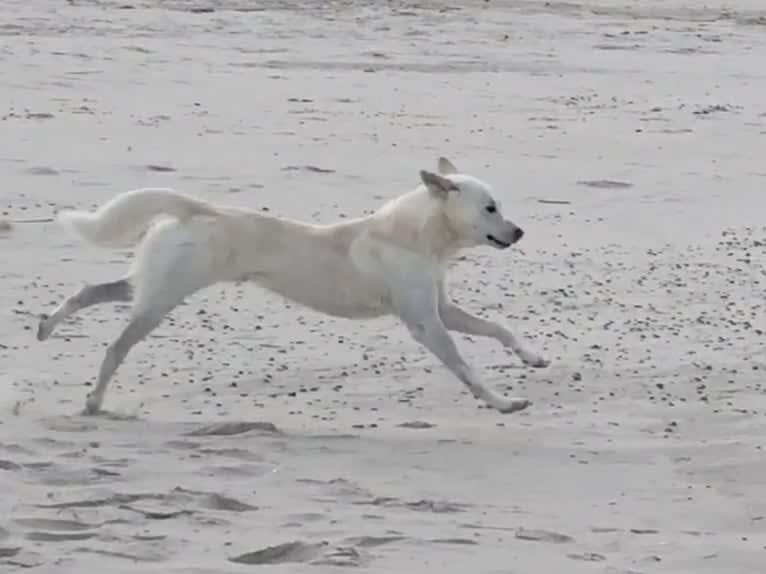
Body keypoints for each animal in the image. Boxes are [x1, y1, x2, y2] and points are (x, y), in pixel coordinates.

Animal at [37, 160, 552, 416]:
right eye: (490, 208)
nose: (520, 232)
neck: (420, 235)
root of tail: (197, 209)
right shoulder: (426, 324)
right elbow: (466, 368)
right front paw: (503, 402)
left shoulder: (442, 310)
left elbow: (500, 328)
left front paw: (533, 358)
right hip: (160, 301)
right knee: (114, 347)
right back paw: (94, 400)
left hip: (153, 287)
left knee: (90, 291)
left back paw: (47, 325)